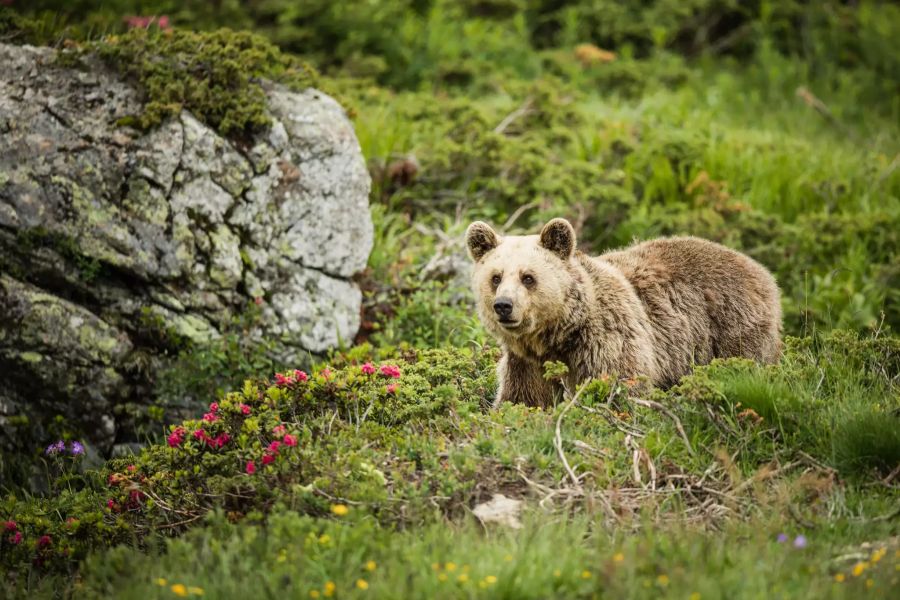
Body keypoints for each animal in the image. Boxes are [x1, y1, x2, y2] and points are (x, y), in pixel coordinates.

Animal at [468, 217, 784, 408]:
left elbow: (620, 389)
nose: (504, 305)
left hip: (732, 330)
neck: (558, 336)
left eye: (528, 277)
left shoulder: (607, 340)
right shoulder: (527, 364)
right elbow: (523, 399)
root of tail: (761, 271)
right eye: (495, 277)